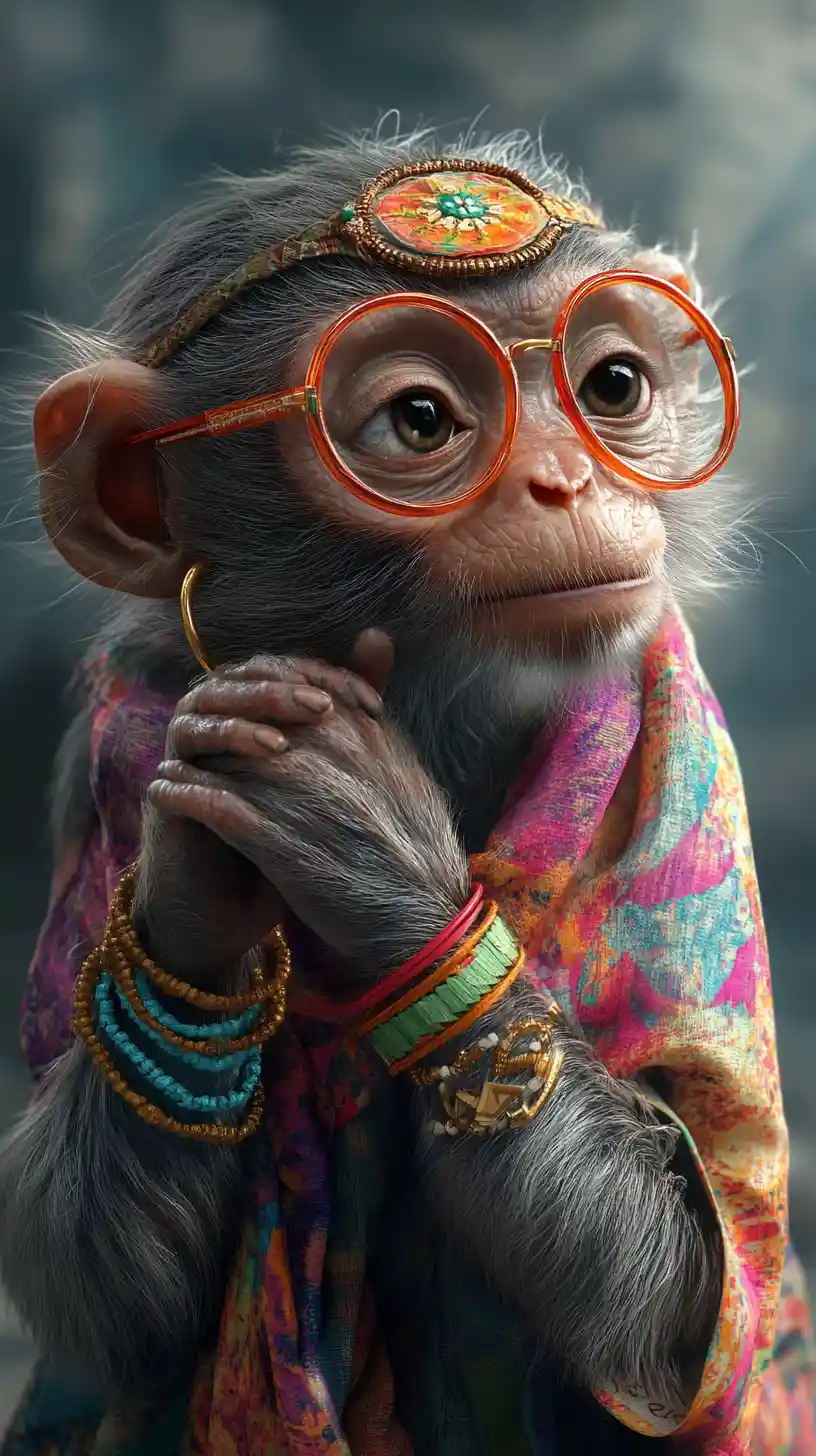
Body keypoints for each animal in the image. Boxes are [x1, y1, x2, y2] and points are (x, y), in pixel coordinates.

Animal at [0, 129, 807, 1455]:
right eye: (421, 418)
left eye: (613, 388)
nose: (565, 480)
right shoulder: (109, 740)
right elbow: (101, 1314)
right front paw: (205, 876)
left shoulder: (683, 749)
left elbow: (687, 1314)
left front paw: (362, 829)